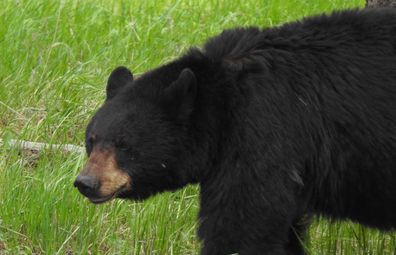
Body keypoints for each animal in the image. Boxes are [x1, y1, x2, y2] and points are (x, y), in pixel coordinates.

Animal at [73, 8, 396, 254]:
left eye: (125, 145)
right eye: (92, 141)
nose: (85, 182)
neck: (222, 101)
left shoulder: (264, 132)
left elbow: (242, 224)